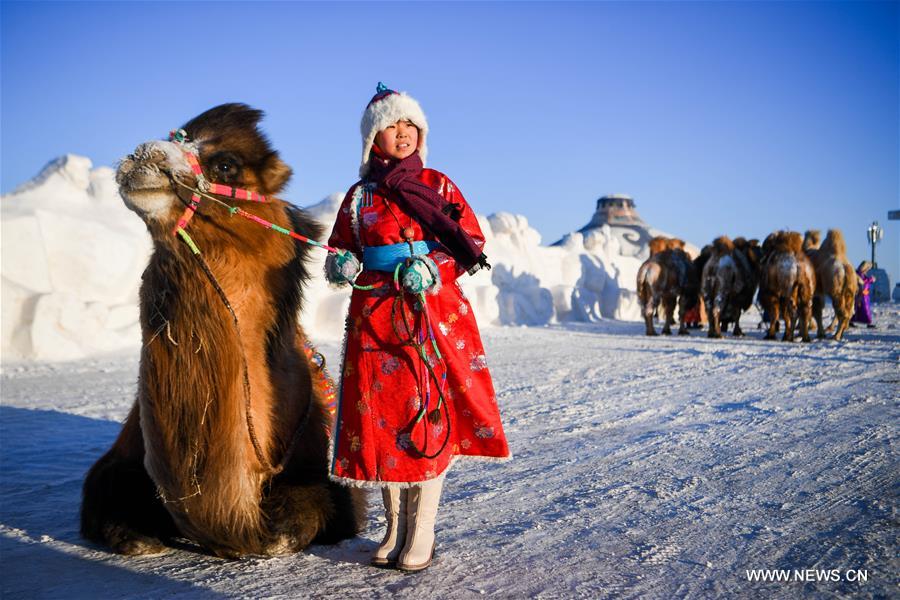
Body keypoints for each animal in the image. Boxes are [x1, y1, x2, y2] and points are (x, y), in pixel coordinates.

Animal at [80, 104, 364, 558]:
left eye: (227, 164)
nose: (143, 155)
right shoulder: (115, 465)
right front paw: (137, 535)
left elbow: (310, 511)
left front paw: (279, 534)